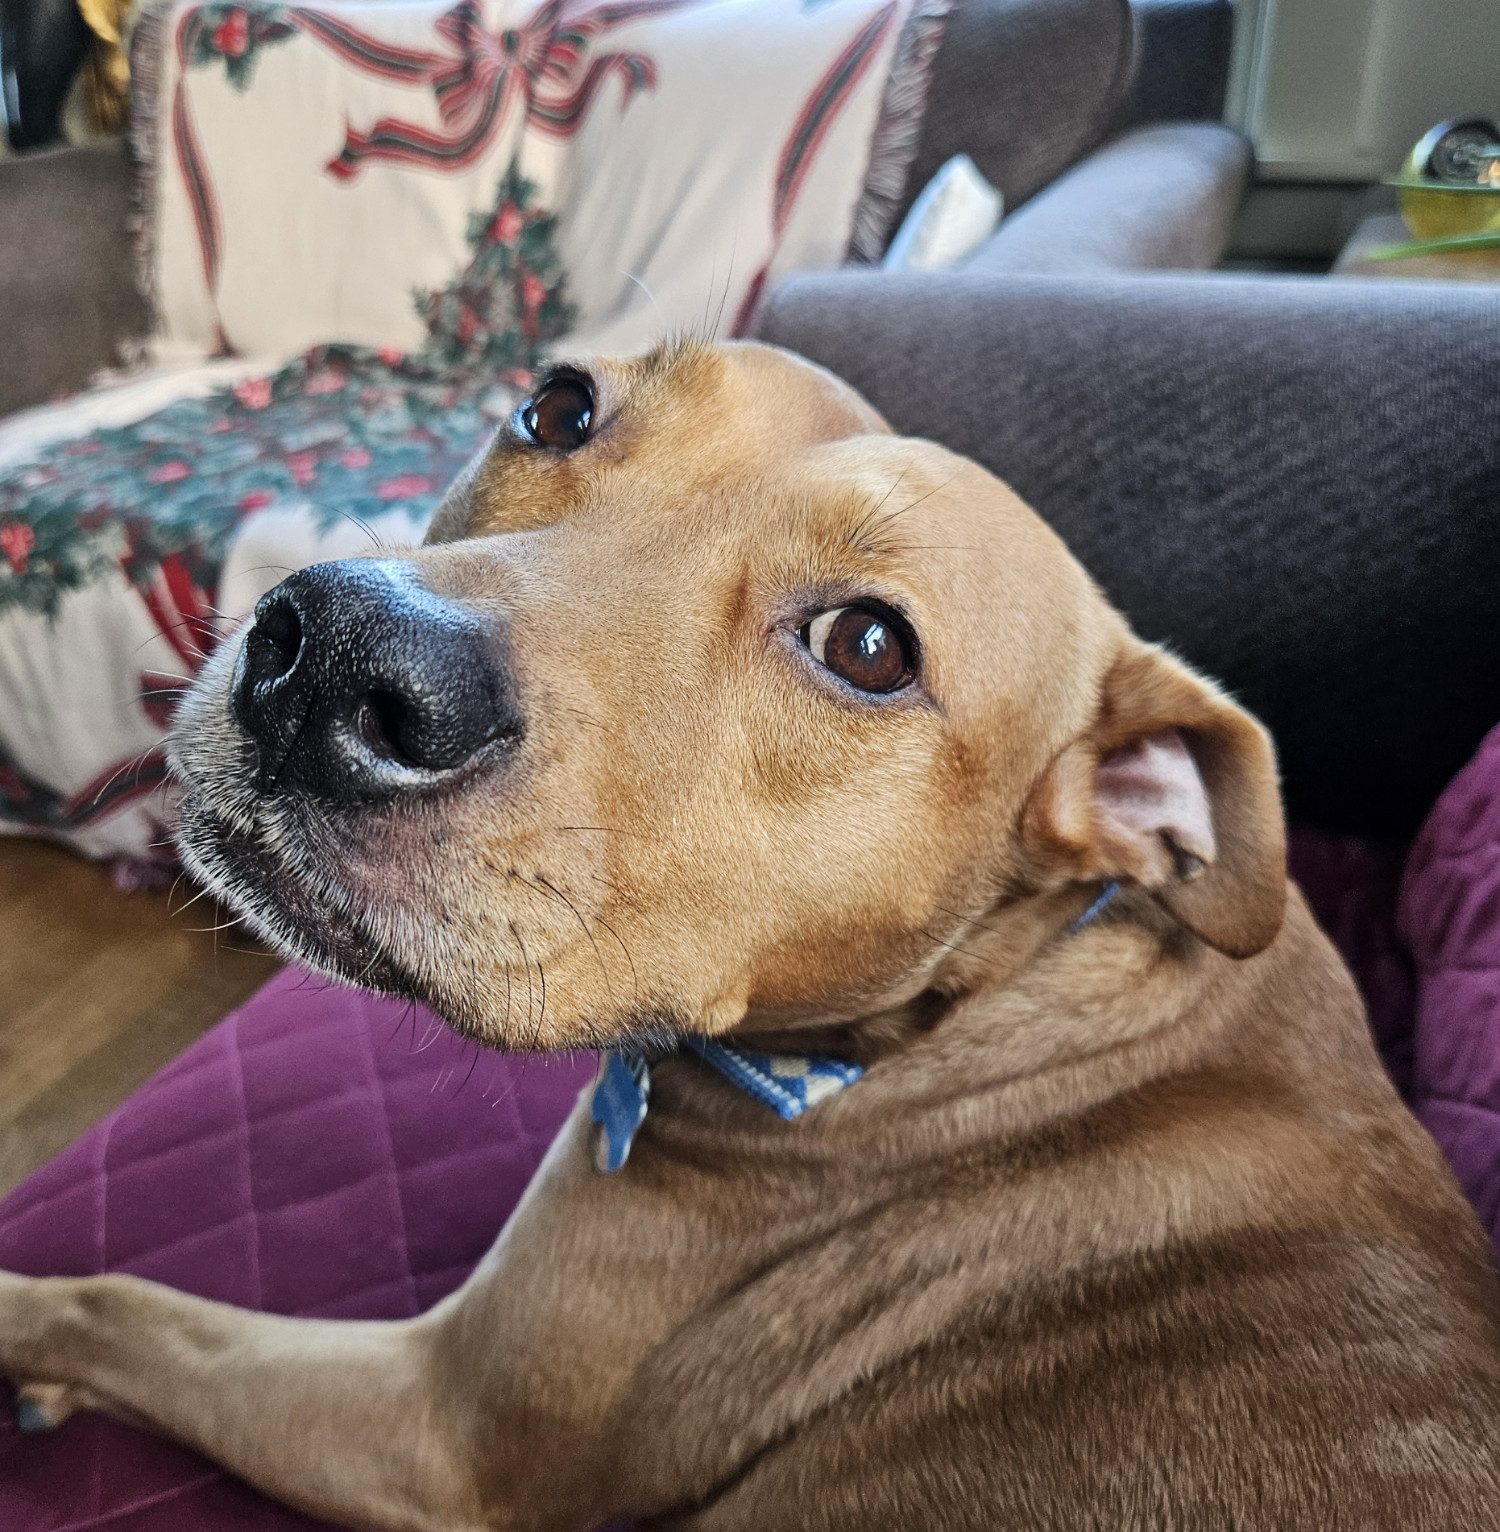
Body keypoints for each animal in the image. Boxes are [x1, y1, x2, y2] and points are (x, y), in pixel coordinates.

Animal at [2, 341, 1500, 1525]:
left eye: (870, 647)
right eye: (557, 406)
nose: (338, 657)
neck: (944, 1024)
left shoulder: (436, 1434)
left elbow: (127, 1300)